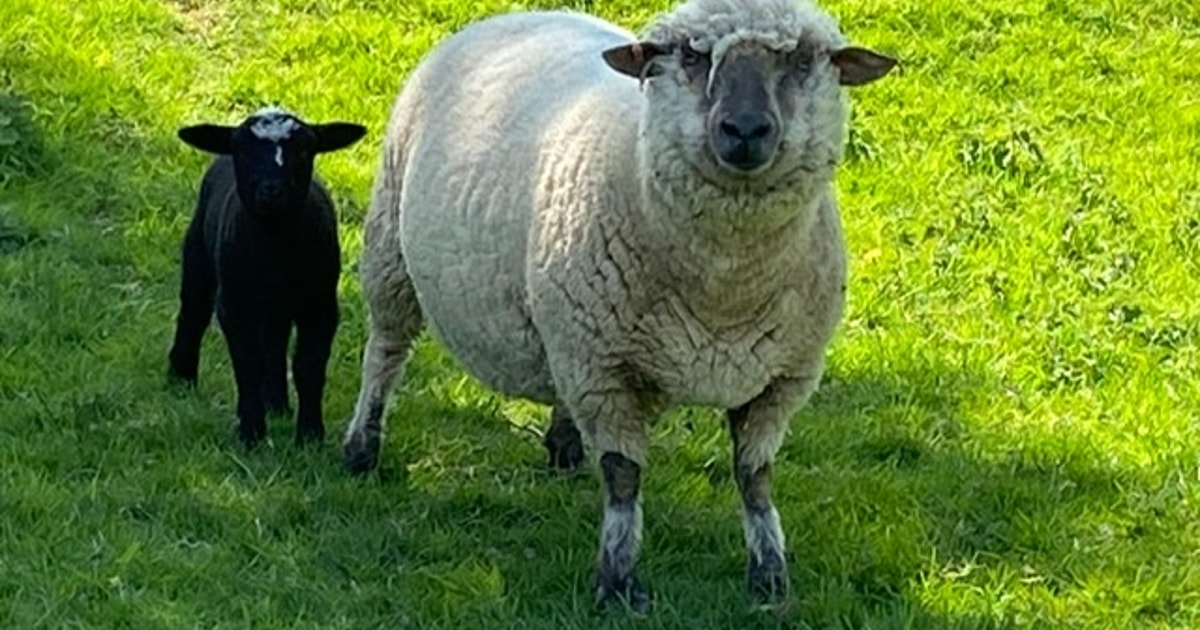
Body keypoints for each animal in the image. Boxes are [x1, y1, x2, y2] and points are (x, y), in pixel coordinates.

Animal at [167, 106, 366, 448]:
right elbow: (247, 364)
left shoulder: (322, 306)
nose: (272, 190)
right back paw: (181, 377)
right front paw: (251, 434)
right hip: (198, 254)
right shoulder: (234, 305)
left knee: (275, 339)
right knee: (193, 311)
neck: (274, 249)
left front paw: (309, 436)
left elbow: (308, 366)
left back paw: (276, 404)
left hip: (279, 306)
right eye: (243, 150)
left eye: (304, 151)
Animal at [342, 0, 896, 608]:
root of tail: (519, 14)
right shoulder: (605, 371)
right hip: (391, 250)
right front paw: (618, 581)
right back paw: (361, 447)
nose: (746, 130)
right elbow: (623, 476)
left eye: (800, 60)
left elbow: (755, 477)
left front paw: (770, 578)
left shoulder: (781, 380)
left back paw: (563, 447)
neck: (724, 293)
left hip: (561, 323)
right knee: (385, 353)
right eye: (691, 56)